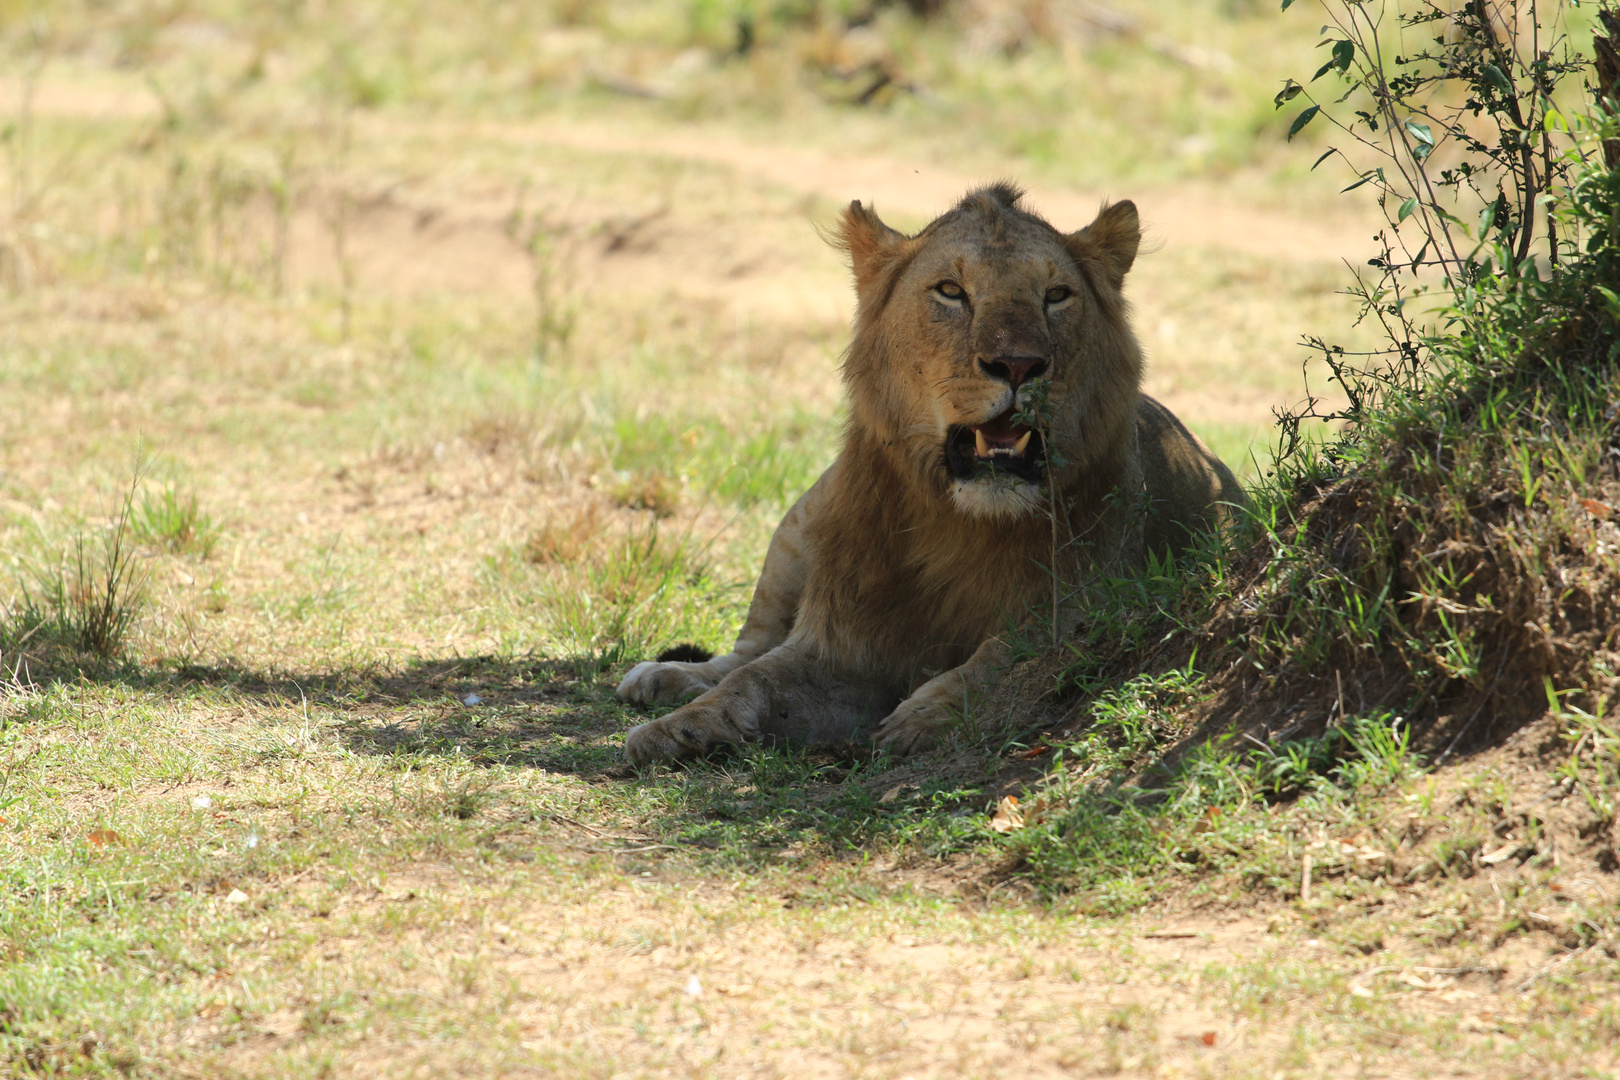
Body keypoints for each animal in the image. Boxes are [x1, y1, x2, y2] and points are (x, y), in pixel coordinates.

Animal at [615, 183, 1237, 767]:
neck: (961, 523)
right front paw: (676, 729)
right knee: (746, 649)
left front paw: (926, 714)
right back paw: (664, 677)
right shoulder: (841, 642)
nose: (1018, 364)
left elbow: (1007, 657)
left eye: (1056, 296)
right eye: (951, 291)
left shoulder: (1091, 605)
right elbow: (756, 676)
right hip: (798, 523)